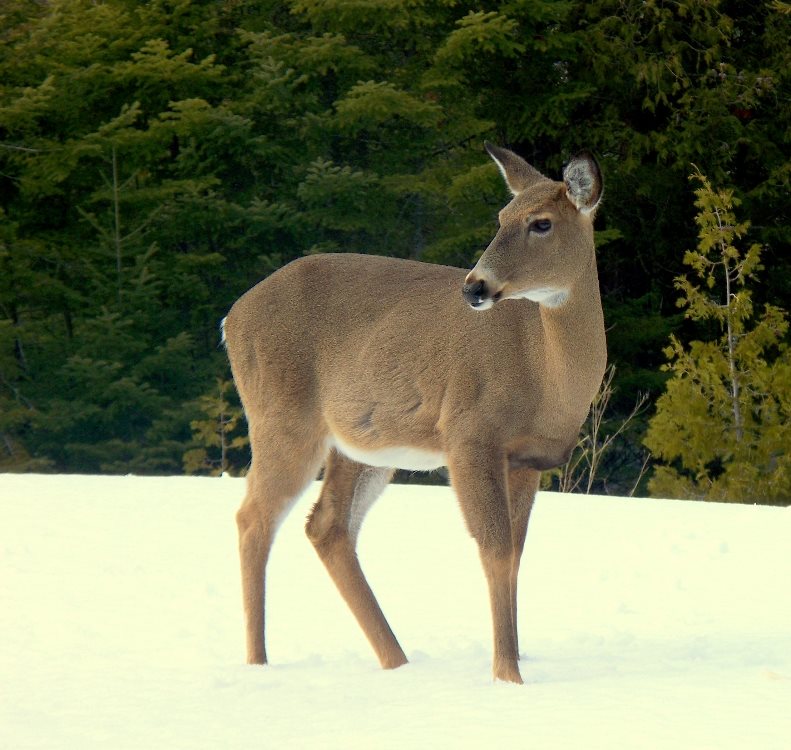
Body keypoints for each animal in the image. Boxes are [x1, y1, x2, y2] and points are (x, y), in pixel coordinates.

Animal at [223, 143, 606, 684]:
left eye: (541, 223)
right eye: (501, 217)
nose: (475, 286)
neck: (546, 373)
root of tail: (230, 318)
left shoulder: (529, 459)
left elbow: (516, 551)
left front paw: (514, 661)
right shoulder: (468, 433)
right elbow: (495, 548)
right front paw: (507, 673)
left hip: (362, 442)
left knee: (327, 526)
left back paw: (396, 661)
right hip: (282, 418)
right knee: (254, 518)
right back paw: (259, 662)